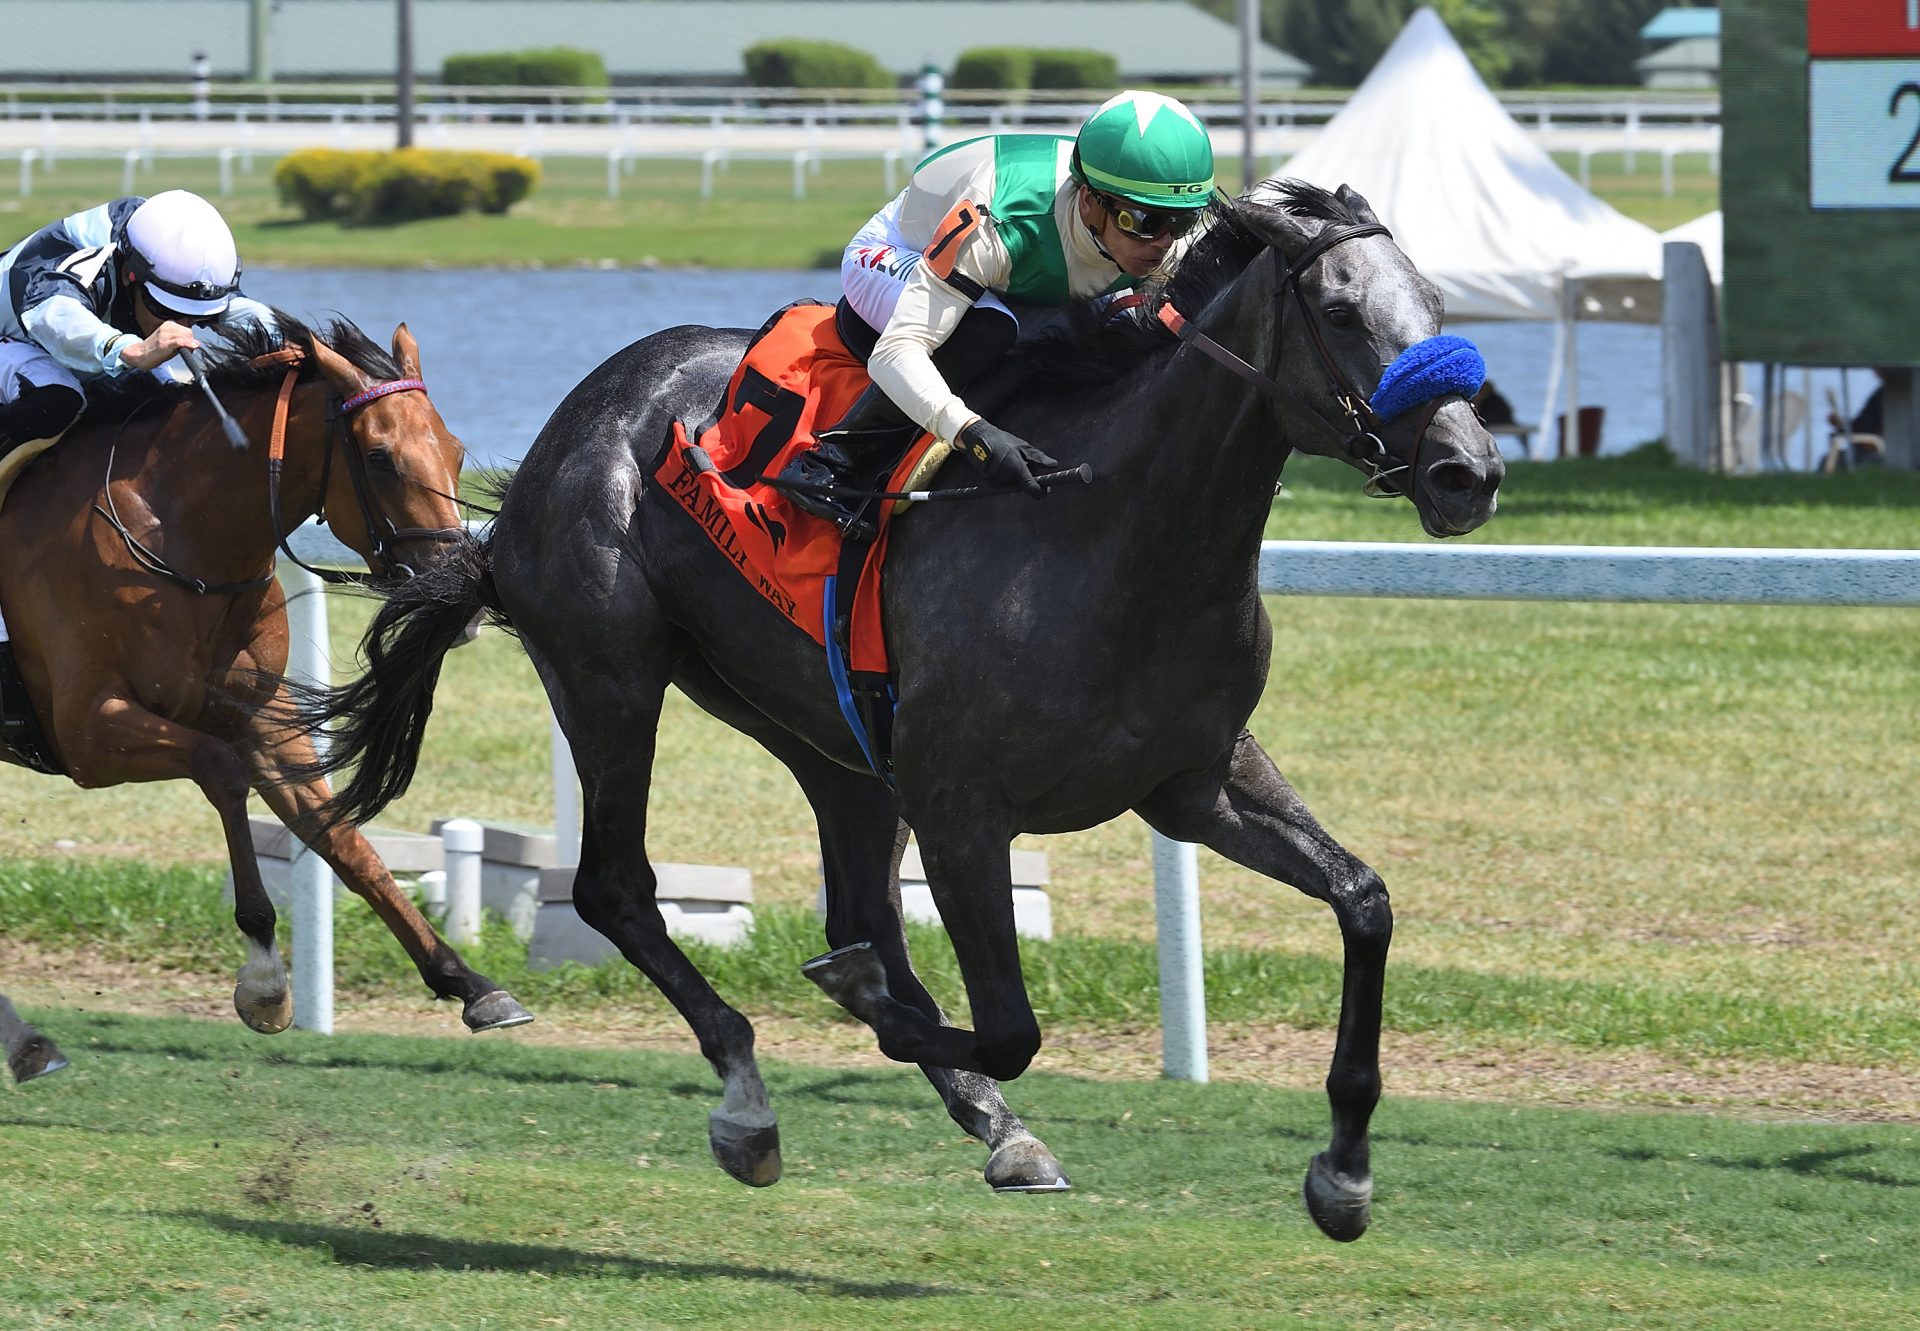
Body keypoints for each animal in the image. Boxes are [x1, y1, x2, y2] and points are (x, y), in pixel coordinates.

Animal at [0, 311, 529, 1083]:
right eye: (380, 458)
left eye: (457, 451)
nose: (463, 595)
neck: (174, 533)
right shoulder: (88, 730)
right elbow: (222, 770)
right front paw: (264, 978)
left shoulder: (264, 719)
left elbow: (344, 840)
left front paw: (469, 983)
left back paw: (27, 1042)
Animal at [291, 181, 1505, 1244]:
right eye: (1341, 311)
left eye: (1437, 306)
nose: (1468, 472)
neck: (1114, 529)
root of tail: (569, 428)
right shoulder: (965, 804)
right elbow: (1008, 1023)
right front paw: (867, 1009)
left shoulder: (1195, 783)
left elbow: (1364, 901)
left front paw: (1344, 1171)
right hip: (611, 676)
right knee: (618, 888)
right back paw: (750, 1099)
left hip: (828, 741)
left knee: (854, 905)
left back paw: (991, 1125)